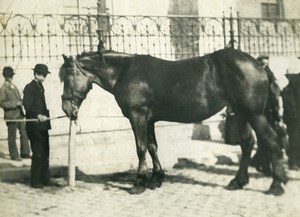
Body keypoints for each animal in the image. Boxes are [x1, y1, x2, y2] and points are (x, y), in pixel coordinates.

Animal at [59, 48, 288, 196]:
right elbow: (152, 146)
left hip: (254, 114)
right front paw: (156, 178)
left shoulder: (137, 116)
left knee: (272, 141)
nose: (66, 109)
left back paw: (276, 185)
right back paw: (238, 181)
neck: (125, 72)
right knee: (247, 143)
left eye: (68, 76)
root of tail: (259, 65)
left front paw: (139, 183)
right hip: (241, 113)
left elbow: (141, 148)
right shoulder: (149, 119)